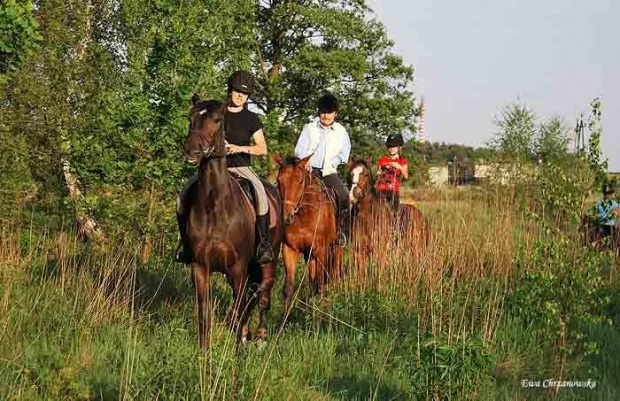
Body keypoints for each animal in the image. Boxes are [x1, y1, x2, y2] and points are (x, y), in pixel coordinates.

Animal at [182, 97, 284, 346]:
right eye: (190, 117)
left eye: (217, 120)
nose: (191, 150)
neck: (214, 205)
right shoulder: (200, 267)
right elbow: (204, 313)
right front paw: (204, 352)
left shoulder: (238, 269)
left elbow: (241, 306)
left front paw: (237, 350)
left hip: (267, 262)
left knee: (262, 295)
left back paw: (260, 338)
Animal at [274, 155, 342, 318]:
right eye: (279, 180)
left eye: (300, 181)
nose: (286, 216)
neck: (305, 214)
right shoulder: (290, 250)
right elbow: (288, 288)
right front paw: (284, 321)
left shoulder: (321, 250)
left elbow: (321, 283)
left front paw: (319, 320)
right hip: (309, 255)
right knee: (312, 281)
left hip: (334, 250)